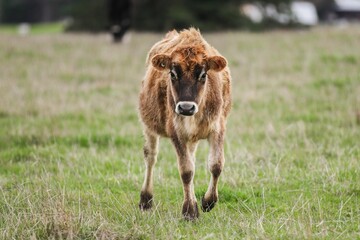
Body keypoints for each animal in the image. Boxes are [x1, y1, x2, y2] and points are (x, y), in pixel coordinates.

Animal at [136, 27, 232, 219]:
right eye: (173, 74)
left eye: (203, 74)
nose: (186, 107)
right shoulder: (176, 132)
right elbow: (186, 171)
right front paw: (190, 211)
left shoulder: (218, 128)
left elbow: (216, 165)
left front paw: (208, 202)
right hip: (149, 127)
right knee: (151, 157)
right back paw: (145, 199)